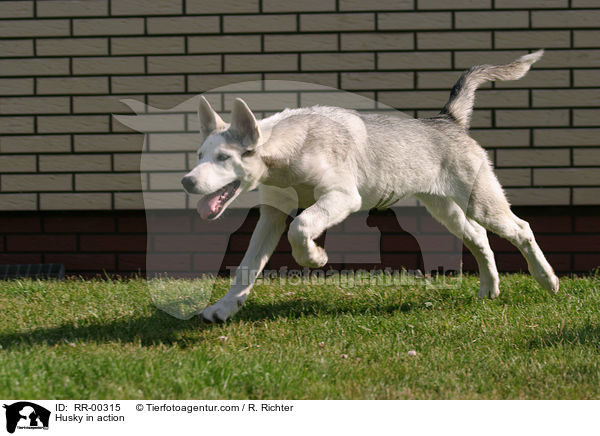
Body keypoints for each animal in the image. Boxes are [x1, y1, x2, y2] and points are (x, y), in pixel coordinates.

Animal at [182, 50, 556, 324]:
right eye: (200, 155)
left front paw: (315, 257)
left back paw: (546, 279)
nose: (187, 181)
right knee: (478, 237)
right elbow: (247, 266)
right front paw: (224, 308)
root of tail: (448, 120)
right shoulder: (271, 216)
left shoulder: (341, 197)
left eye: (223, 157)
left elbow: (301, 226)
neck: (290, 149)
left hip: (481, 201)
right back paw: (489, 289)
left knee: (521, 228)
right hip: (446, 208)